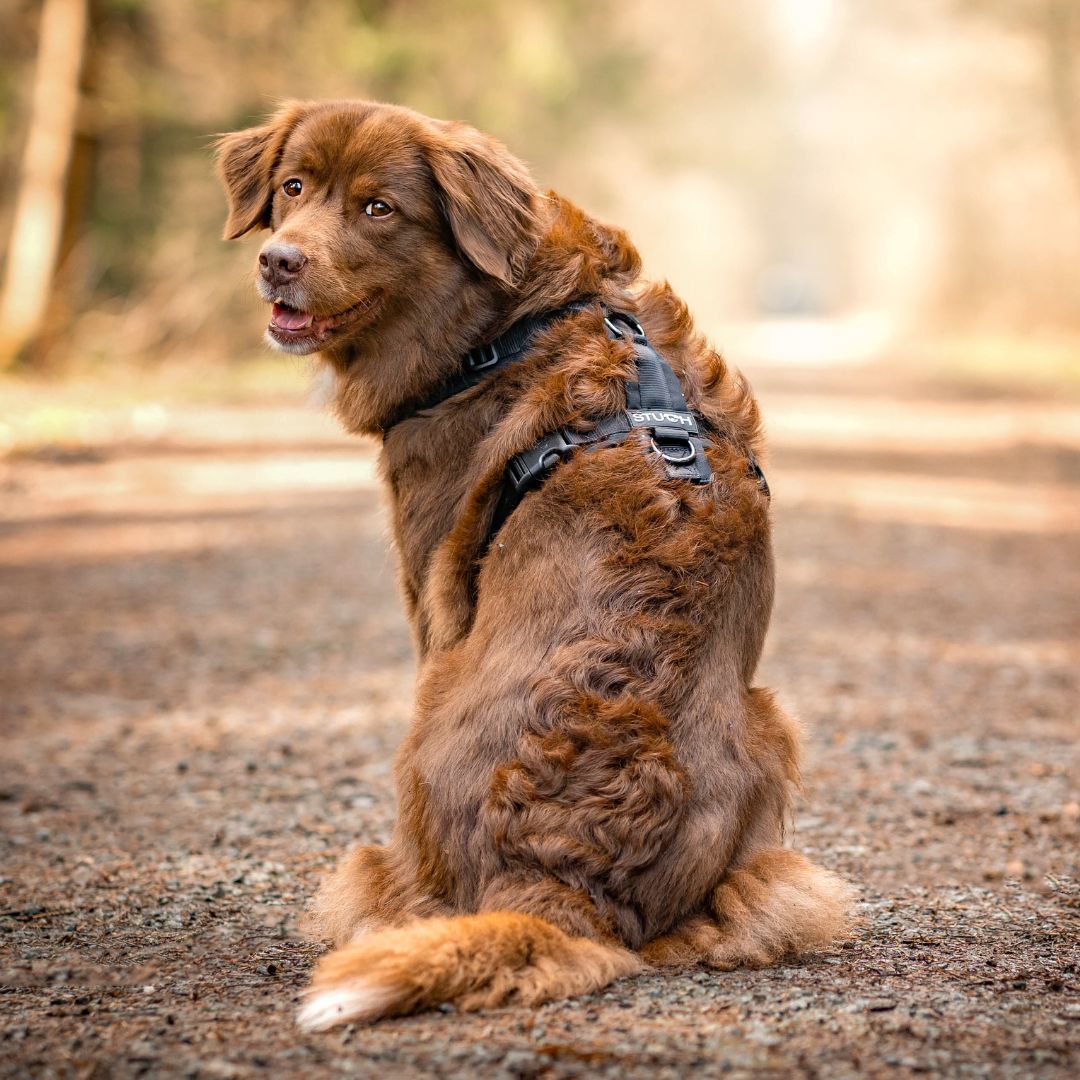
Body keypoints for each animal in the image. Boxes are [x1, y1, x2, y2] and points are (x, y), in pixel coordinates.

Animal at [214, 99, 846, 1028]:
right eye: (293, 187)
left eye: (379, 209)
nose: (278, 261)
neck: (506, 320)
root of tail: (561, 882)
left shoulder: (431, 591)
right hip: (771, 720)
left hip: (423, 735)